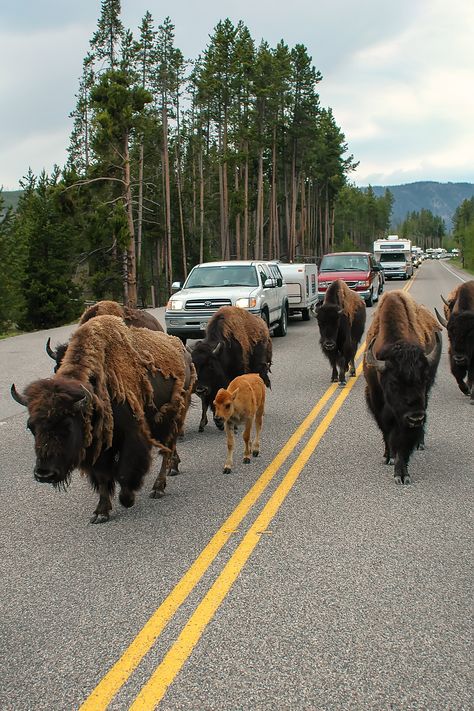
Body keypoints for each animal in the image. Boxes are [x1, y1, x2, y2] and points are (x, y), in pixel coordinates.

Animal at [12, 318, 195, 524]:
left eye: (67, 425)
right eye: (30, 426)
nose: (44, 473)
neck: (94, 395)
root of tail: (183, 350)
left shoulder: (130, 437)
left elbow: (124, 471)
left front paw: (127, 499)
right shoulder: (99, 447)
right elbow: (102, 477)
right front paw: (101, 512)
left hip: (172, 418)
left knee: (167, 449)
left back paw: (158, 487)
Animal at [192, 304, 272, 432]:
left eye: (211, 365)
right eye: (194, 365)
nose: (200, 389)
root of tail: (263, 325)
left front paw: (231, 424)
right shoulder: (210, 388)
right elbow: (206, 403)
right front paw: (204, 424)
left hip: (259, 369)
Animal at [364, 290, 442, 484]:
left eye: (424, 379)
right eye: (394, 382)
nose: (416, 418)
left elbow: (403, 441)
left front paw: (402, 473)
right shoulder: (376, 400)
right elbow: (386, 431)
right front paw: (389, 456)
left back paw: (420, 443)